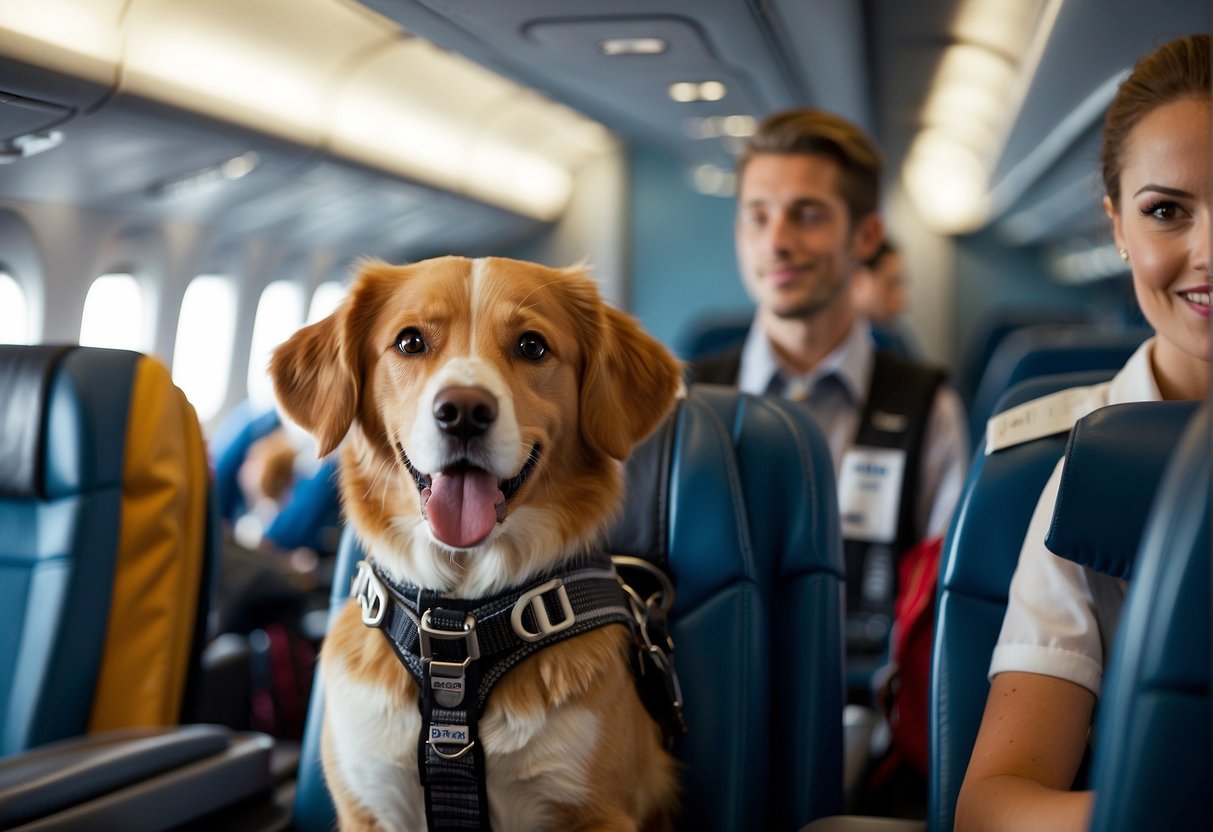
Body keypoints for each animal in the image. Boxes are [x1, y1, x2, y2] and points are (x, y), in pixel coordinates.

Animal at [270, 257, 684, 829]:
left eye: (532, 346)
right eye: (410, 341)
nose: (464, 410)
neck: (458, 614)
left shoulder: (598, 813)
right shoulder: (369, 806)